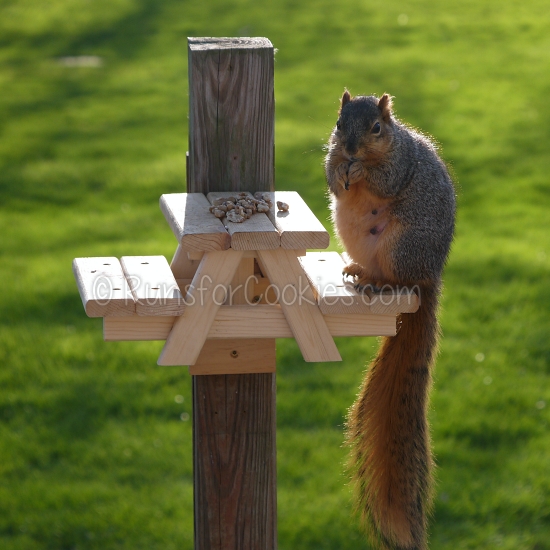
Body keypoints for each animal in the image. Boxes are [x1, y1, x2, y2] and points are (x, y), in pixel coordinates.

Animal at [326, 91, 460, 550]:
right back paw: (358, 272)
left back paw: (379, 282)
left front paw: (361, 170)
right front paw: (338, 170)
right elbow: (330, 177)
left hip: (401, 246)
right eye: (338, 122)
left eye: (377, 128)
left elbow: (383, 179)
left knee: (397, 279)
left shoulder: (399, 165)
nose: (350, 149)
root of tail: (429, 275)